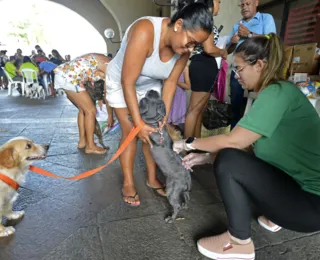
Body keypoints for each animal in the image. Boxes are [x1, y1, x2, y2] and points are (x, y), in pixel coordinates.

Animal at [139, 90, 191, 223]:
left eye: (146, 99)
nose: (152, 90)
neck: (157, 125)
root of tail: (187, 180)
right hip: (182, 191)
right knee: (186, 197)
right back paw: (185, 205)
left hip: (171, 191)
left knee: (177, 205)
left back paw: (171, 218)